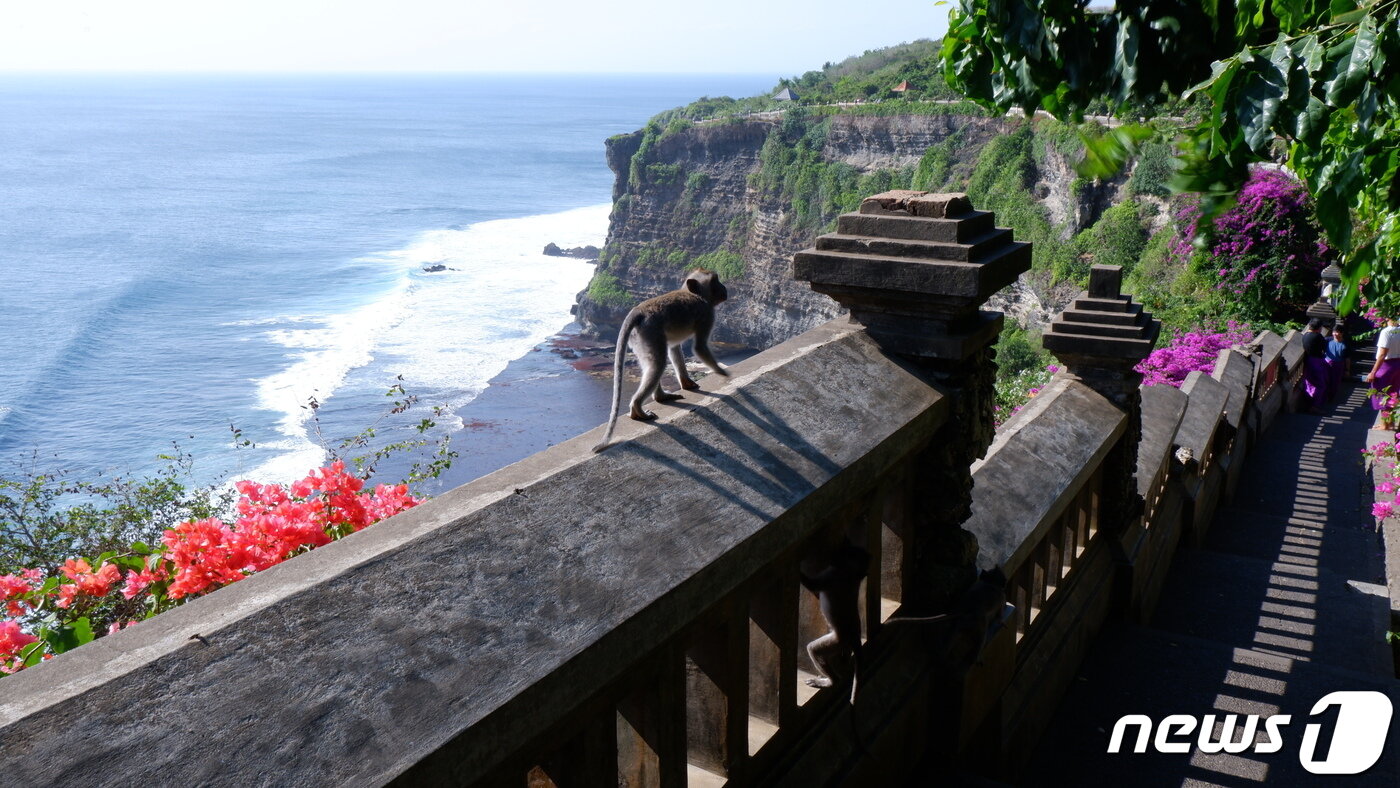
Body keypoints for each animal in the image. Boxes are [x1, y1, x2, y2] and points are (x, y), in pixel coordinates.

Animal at [590, 268, 733, 453]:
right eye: (715, 281)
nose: (724, 288)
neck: (694, 294)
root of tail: (638, 311)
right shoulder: (707, 314)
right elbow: (699, 347)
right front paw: (722, 371)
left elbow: (674, 349)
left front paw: (687, 383)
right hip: (650, 332)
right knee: (658, 364)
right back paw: (638, 409)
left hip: (639, 339)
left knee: (653, 363)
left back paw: (661, 397)